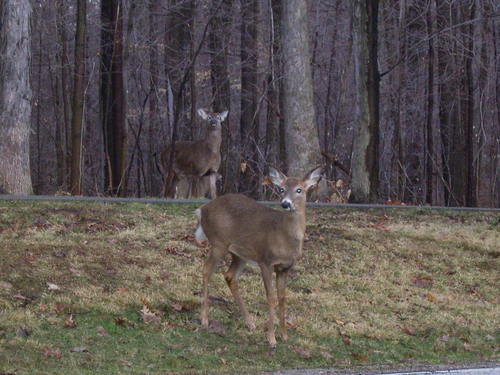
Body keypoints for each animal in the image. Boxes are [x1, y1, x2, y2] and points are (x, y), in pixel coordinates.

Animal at [195, 166, 324, 348]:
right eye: (282, 189)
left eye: (299, 189)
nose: (285, 203)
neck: (284, 238)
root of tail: (202, 209)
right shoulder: (266, 261)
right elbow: (271, 297)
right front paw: (272, 339)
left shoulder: (285, 268)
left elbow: (282, 298)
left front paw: (285, 336)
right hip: (218, 243)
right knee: (206, 270)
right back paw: (205, 319)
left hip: (239, 254)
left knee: (229, 276)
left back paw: (250, 323)